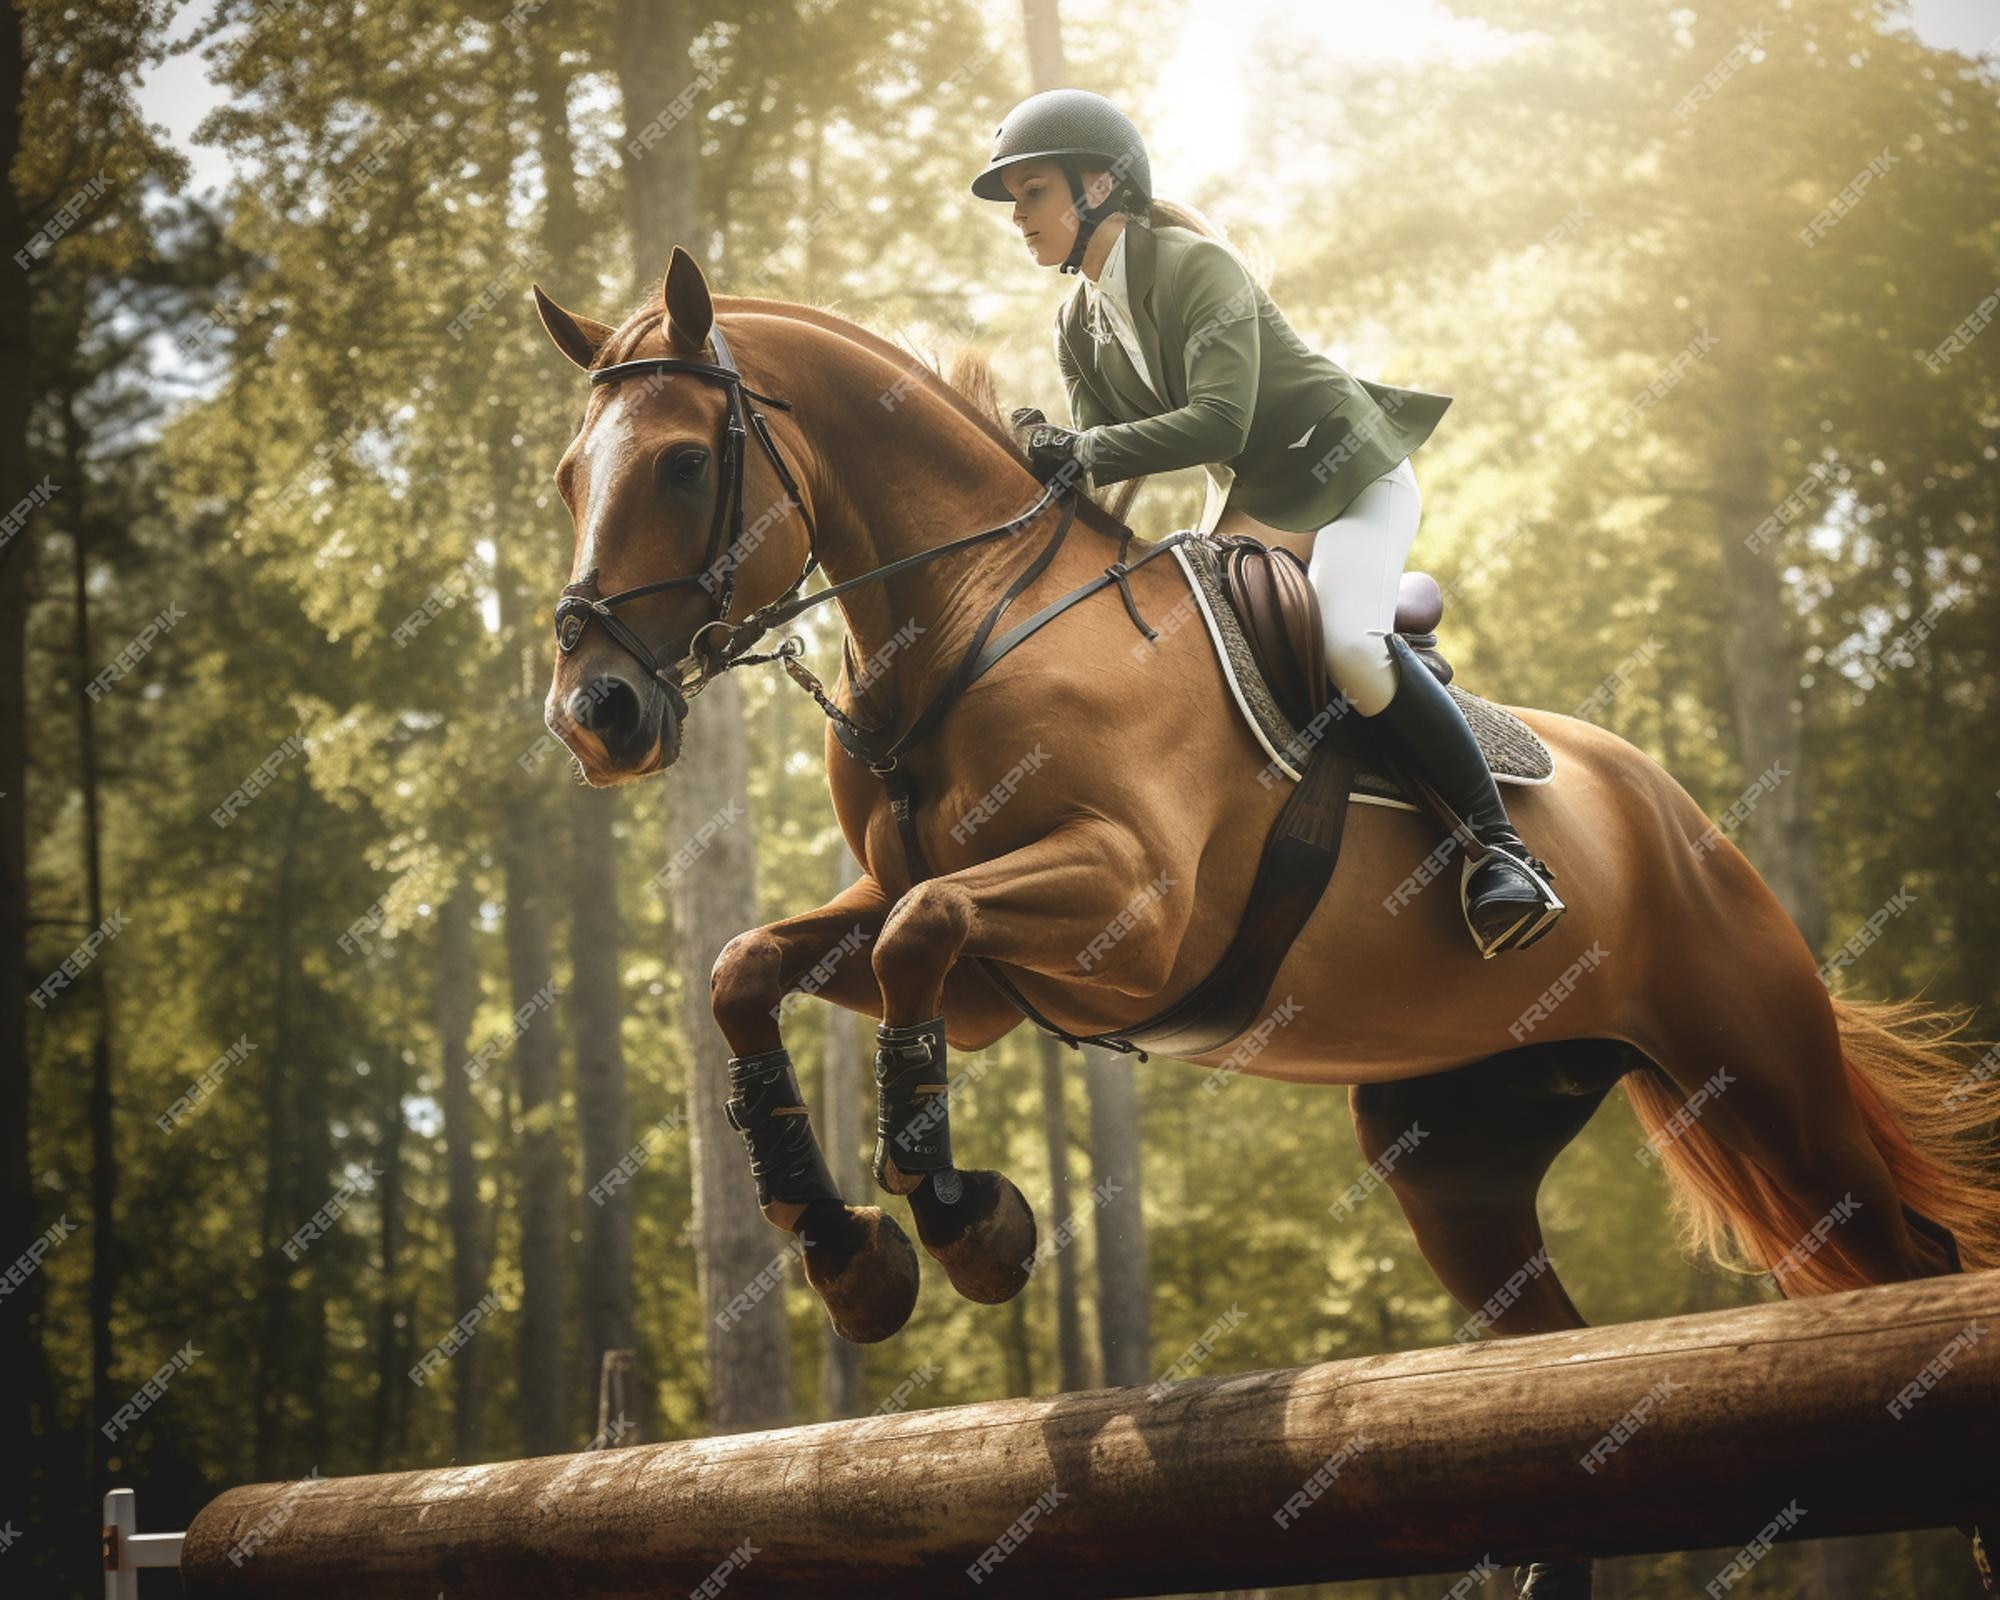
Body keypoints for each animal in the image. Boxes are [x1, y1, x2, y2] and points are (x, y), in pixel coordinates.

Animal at [532, 250, 2000, 1584]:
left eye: (680, 465)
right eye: (565, 477)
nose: (594, 714)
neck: (963, 624)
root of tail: (1683, 817)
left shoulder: (1126, 911)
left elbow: (916, 936)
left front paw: (964, 1221)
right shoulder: (976, 982)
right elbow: (752, 968)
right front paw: (849, 1253)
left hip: (1755, 1071)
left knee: (1905, 1265)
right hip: (1454, 1154)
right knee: (1544, 1358)